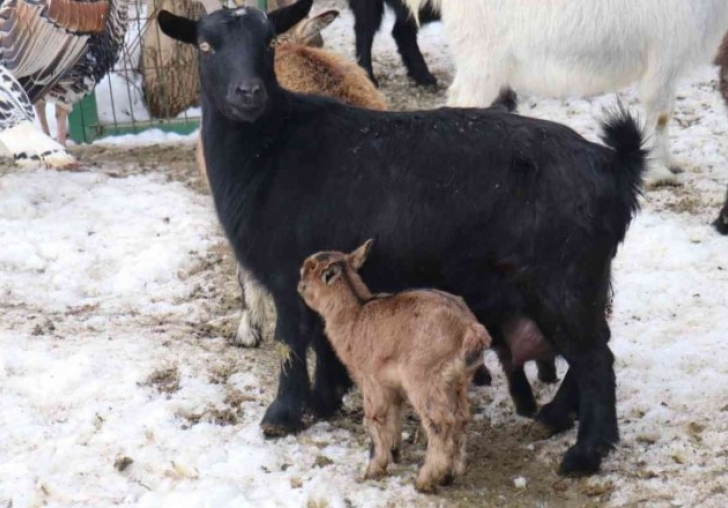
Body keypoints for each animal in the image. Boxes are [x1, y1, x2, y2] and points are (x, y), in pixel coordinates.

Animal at [161, 1, 648, 476]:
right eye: (205, 46)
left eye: (268, 43)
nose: (248, 93)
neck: (271, 147)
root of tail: (613, 165)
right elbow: (323, 337)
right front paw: (325, 399)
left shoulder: (287, 271)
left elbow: (292, 341)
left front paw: (282, 415)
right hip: (576, 279)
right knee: (592, 348)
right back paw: (556, 417)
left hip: (562, 278)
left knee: (596, 358)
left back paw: (586, 454)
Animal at [406, 0, 728, 187]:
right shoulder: (662, 62)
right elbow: (658, 115)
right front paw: (658, 173)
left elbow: (665, 116)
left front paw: (671, 163)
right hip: (482, 58)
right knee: (464, 103)